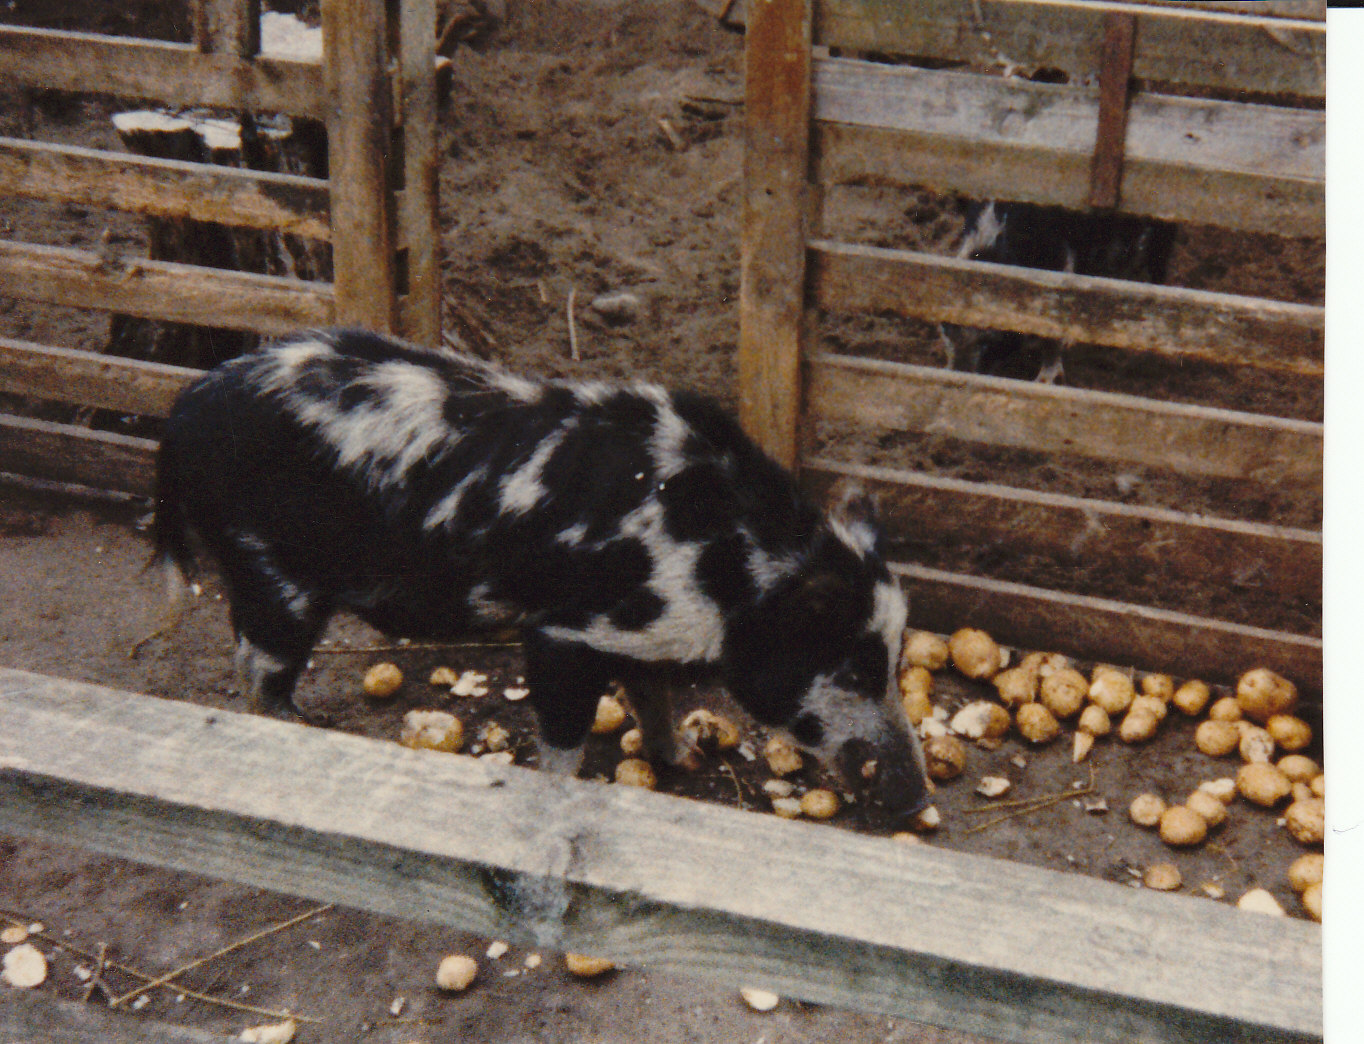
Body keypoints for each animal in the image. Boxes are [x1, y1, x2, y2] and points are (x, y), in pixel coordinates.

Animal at [153, 328, 931, 820]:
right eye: (853, 670)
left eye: (895, 663)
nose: (920, 799)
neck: (725, 569)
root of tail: (186, 407)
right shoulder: (565, 631)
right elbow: (563, 737)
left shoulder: (641, 637)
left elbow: (652, 698)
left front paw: (681, 760)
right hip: (270, 572)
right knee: (258, 668)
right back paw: (304, 728)